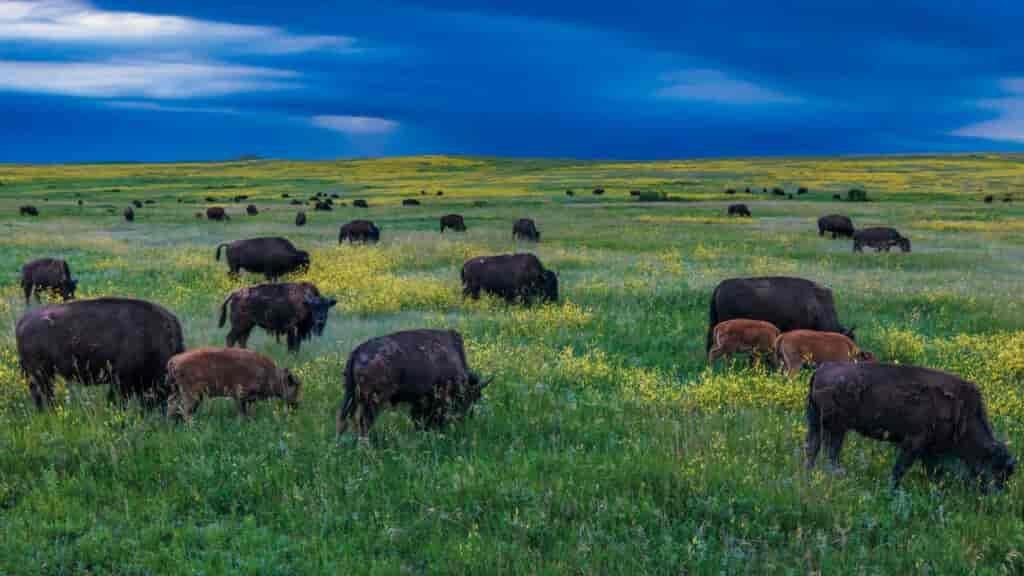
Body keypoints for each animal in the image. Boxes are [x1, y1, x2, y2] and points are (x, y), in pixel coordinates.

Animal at [166, 348, 301, 419]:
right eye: (294, 386)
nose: (296, 406)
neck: (269, 373)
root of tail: (174, 360)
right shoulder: (240, 396)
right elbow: (242, 411)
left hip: (178, 392)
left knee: (172, 406)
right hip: (191, 395)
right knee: (186, 412)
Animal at [336, 329, 490, 436]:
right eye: (470, 397)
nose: (464, 418)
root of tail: (358, 351)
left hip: (352, 397)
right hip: (373, 401)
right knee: (364, 423)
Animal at [806, 363, 1015, 489]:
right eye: (997, 470)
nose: (996, 495)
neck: (963, 413)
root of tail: (821, 370)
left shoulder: (929, 451)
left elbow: (931, 471)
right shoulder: (913, 443)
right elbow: (900, 469)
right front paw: (893, 490)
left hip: (818, 424)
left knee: (813, 449)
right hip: (835, 428)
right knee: (829, 453)